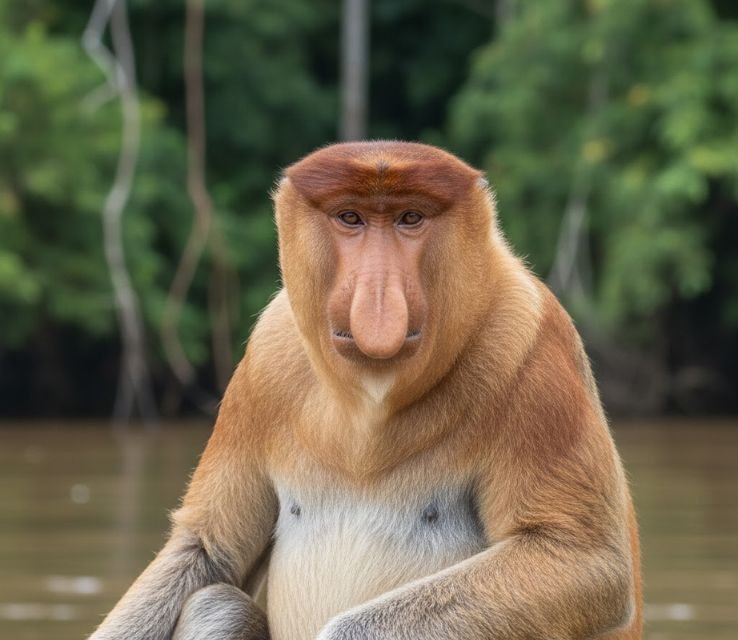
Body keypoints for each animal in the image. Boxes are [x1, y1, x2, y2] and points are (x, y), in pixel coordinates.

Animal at [88, 141, 642, 640]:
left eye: (410, 218)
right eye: (350, 218)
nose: (377, 299)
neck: (371, 402)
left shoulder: (530, 348)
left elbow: (582, 560)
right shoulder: (265, 362)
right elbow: (209, 549)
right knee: (217, 603)